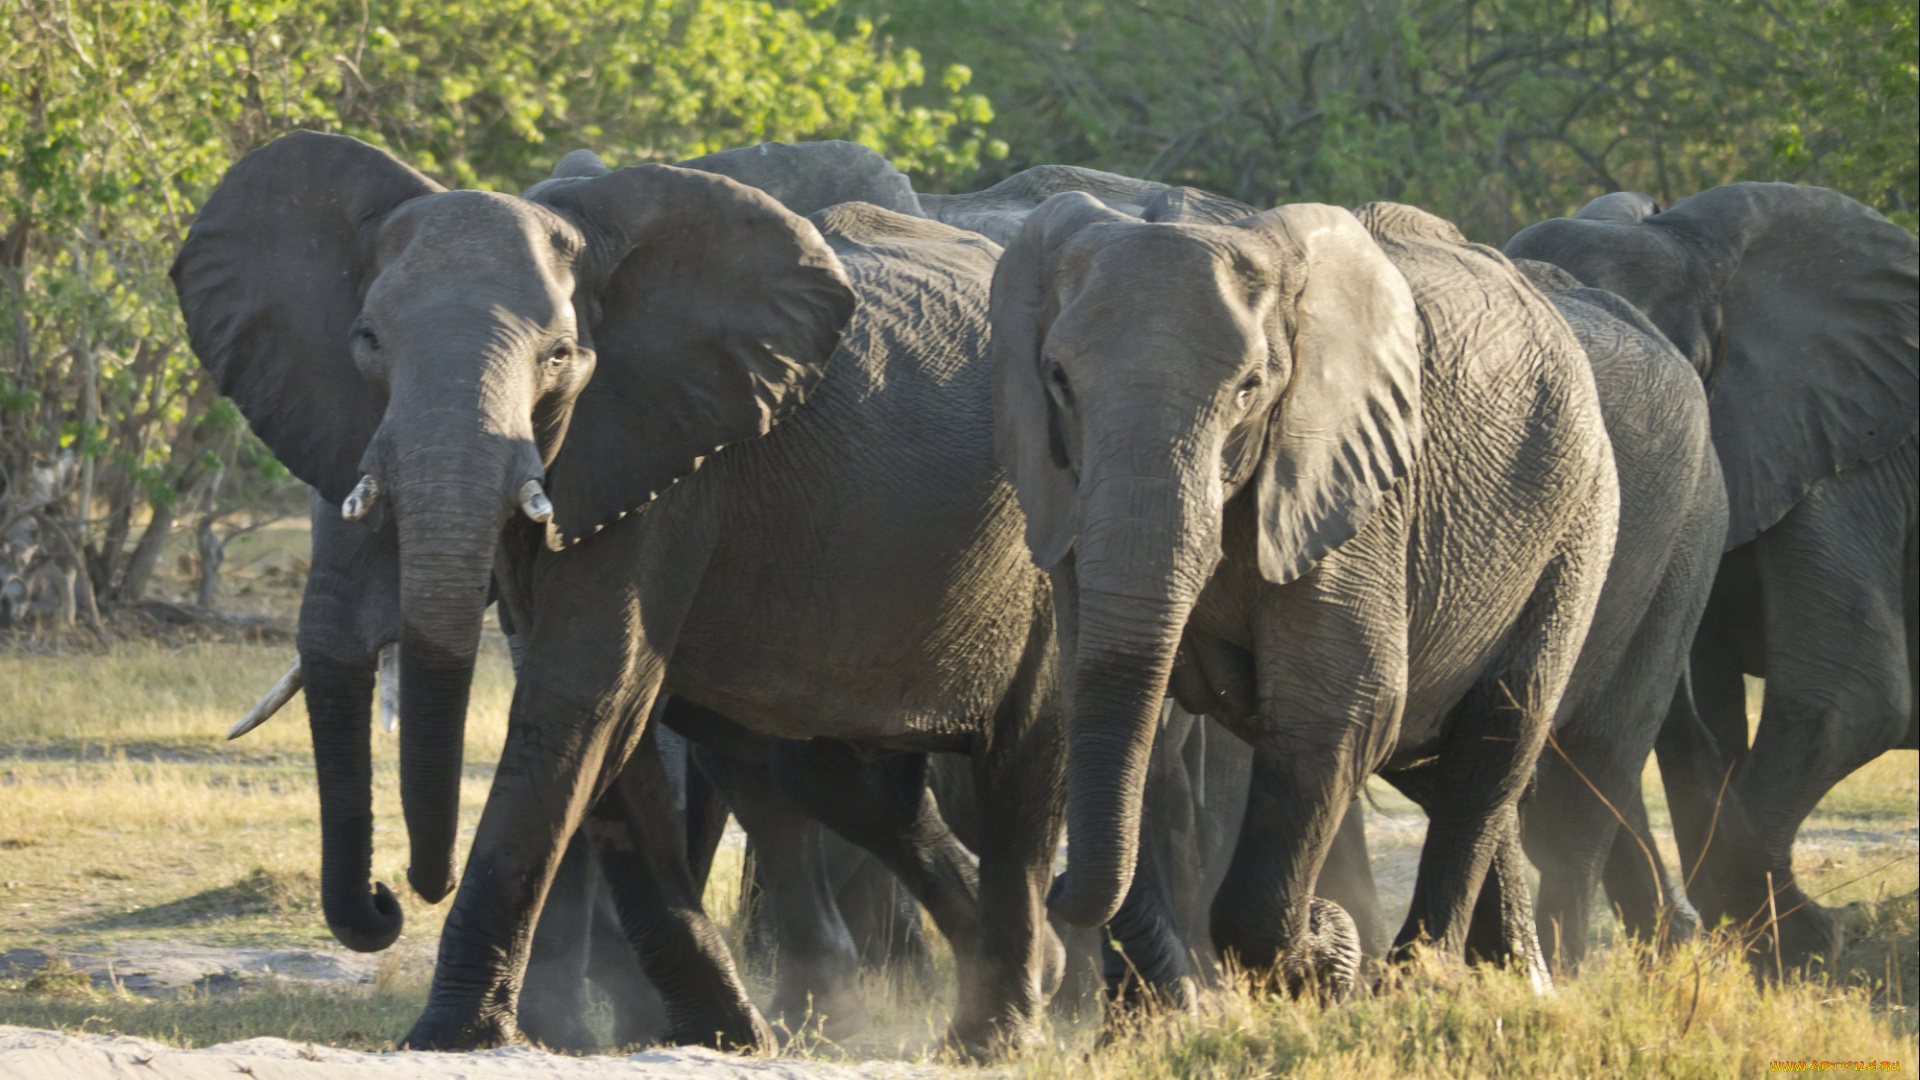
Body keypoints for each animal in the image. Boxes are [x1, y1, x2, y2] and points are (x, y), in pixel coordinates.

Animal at [172, 127, 1067, 1053]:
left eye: (558, 357)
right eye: (368, 338)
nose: (390, 899)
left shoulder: (670, 459)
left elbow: (581, 692)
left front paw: (451, 1037)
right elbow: (612, 725)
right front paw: (726, 1039)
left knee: (1021, 765)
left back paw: (996, 1037)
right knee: (838, 779)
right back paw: (1030, 975)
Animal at [990, 191, 1620, 991]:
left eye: (1250, 389)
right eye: (1058, 378)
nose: (1061, 886)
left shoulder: (1354, 483)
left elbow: (1343, 703)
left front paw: (1319, 957)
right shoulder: (1063, 487)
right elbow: (1094, 690)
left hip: (1580, 515)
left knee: (1497, 737)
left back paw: (1423, 980)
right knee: (1439, 761)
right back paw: (1511, 982)